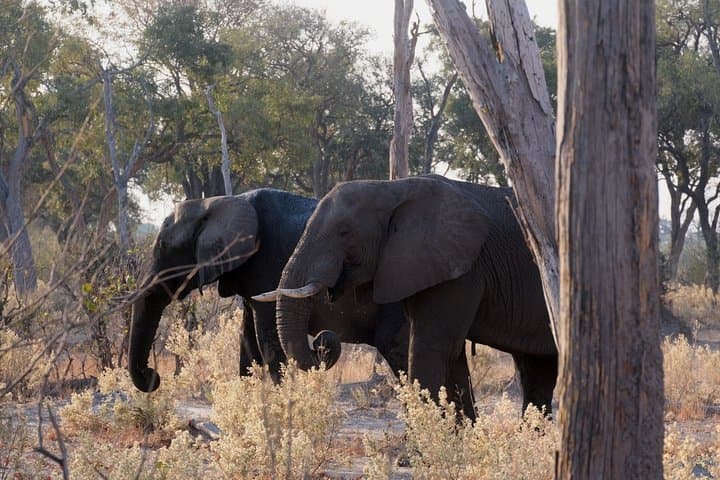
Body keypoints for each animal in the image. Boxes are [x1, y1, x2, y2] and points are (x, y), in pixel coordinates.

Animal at [128, 188, 408, 393]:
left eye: (164, 246)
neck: (215, 203)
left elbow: (267, 338)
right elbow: (247, 339)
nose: (154, 376)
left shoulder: (267, 265)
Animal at [254, 175, 558, 420]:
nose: (322, 340)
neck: (393, 188)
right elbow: (453, 357)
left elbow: (430, 348)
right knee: (537, 371)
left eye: (344, 232)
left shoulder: (461, 270)